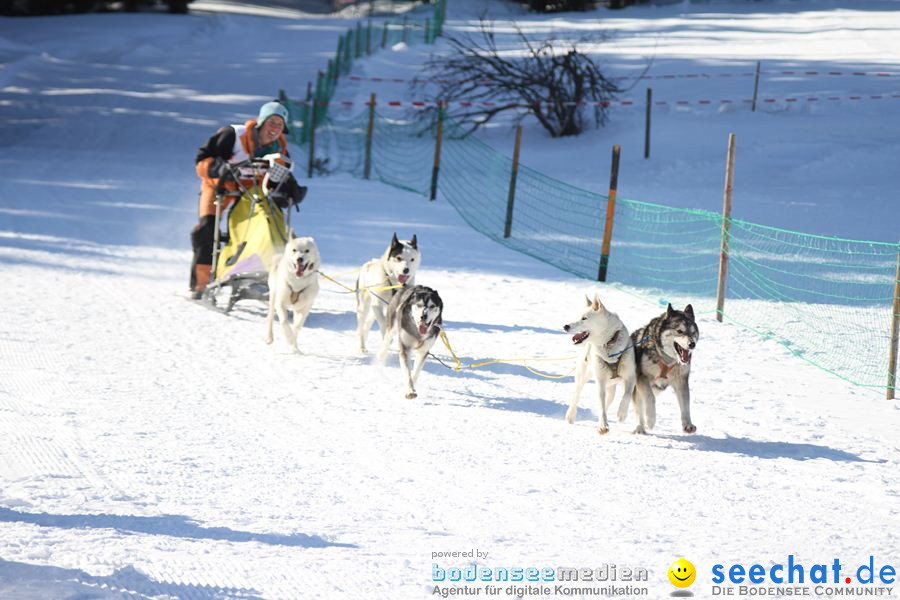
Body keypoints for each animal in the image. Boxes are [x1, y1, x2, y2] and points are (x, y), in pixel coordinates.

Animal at [564, 292, 640, 434]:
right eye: (578, 316)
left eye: (584, 318)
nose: (565, 326)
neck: (609, 344)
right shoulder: (600, 381)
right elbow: (601, 404)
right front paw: (603, 425)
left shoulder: (630, 377)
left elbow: (626, 395)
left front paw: (621, 414)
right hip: (583, 377)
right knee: (577, 394)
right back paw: (570, 415)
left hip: (611, 387)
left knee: (608, 400)